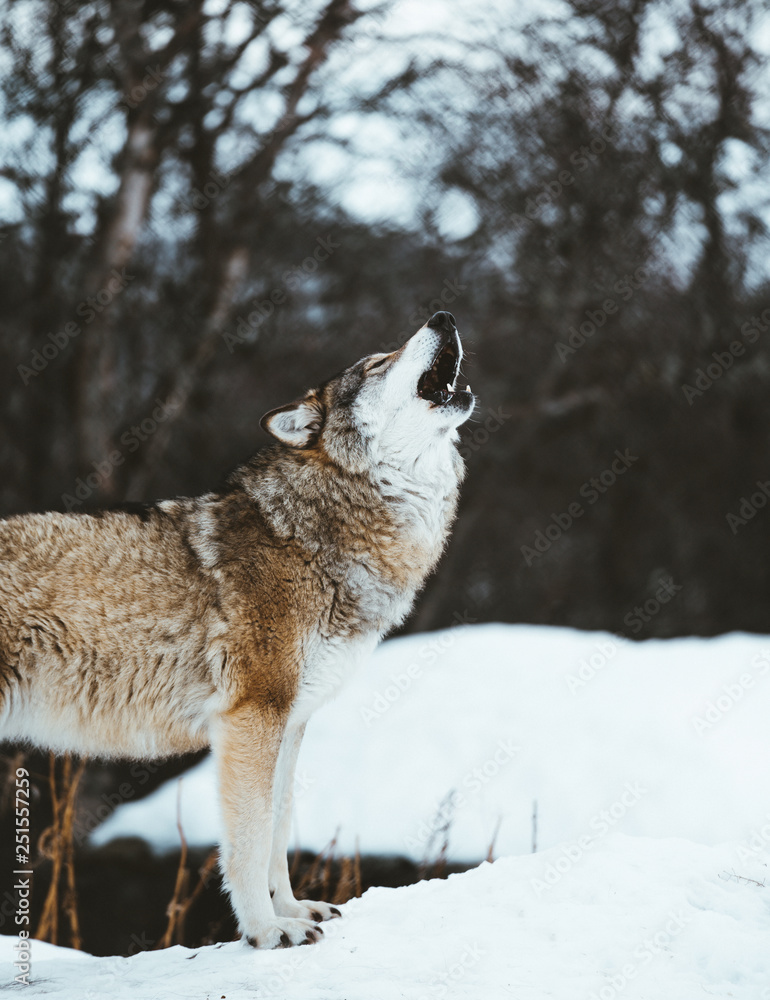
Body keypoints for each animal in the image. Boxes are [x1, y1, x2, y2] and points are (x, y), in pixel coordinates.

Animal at [0, 311, 474, 948]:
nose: (443, 317)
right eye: (378, 362)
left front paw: (294, 910)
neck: (313, 533)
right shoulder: (252, 718)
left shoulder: (291, 725)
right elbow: (249, 842)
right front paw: (267, 932)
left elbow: (279, 831)